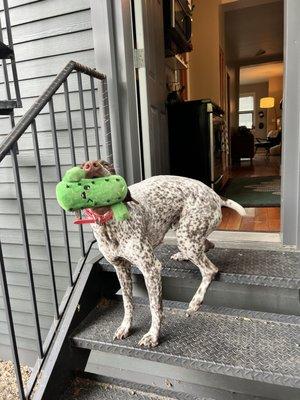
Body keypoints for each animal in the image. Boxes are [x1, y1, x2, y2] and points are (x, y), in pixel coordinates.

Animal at [81, 161, 245, 348]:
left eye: (106, 164)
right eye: (80, 167)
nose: (91, 165)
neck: (108, 225)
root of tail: (214, 194)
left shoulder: (151, 269)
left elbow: (155, 307)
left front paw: (153, 335)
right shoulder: (120, 269)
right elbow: (127, 303)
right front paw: (125, 327)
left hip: (185, 236)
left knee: (210, 270)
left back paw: (195, 302)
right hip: (185, 232)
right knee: (207, 245)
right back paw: (183, 255)